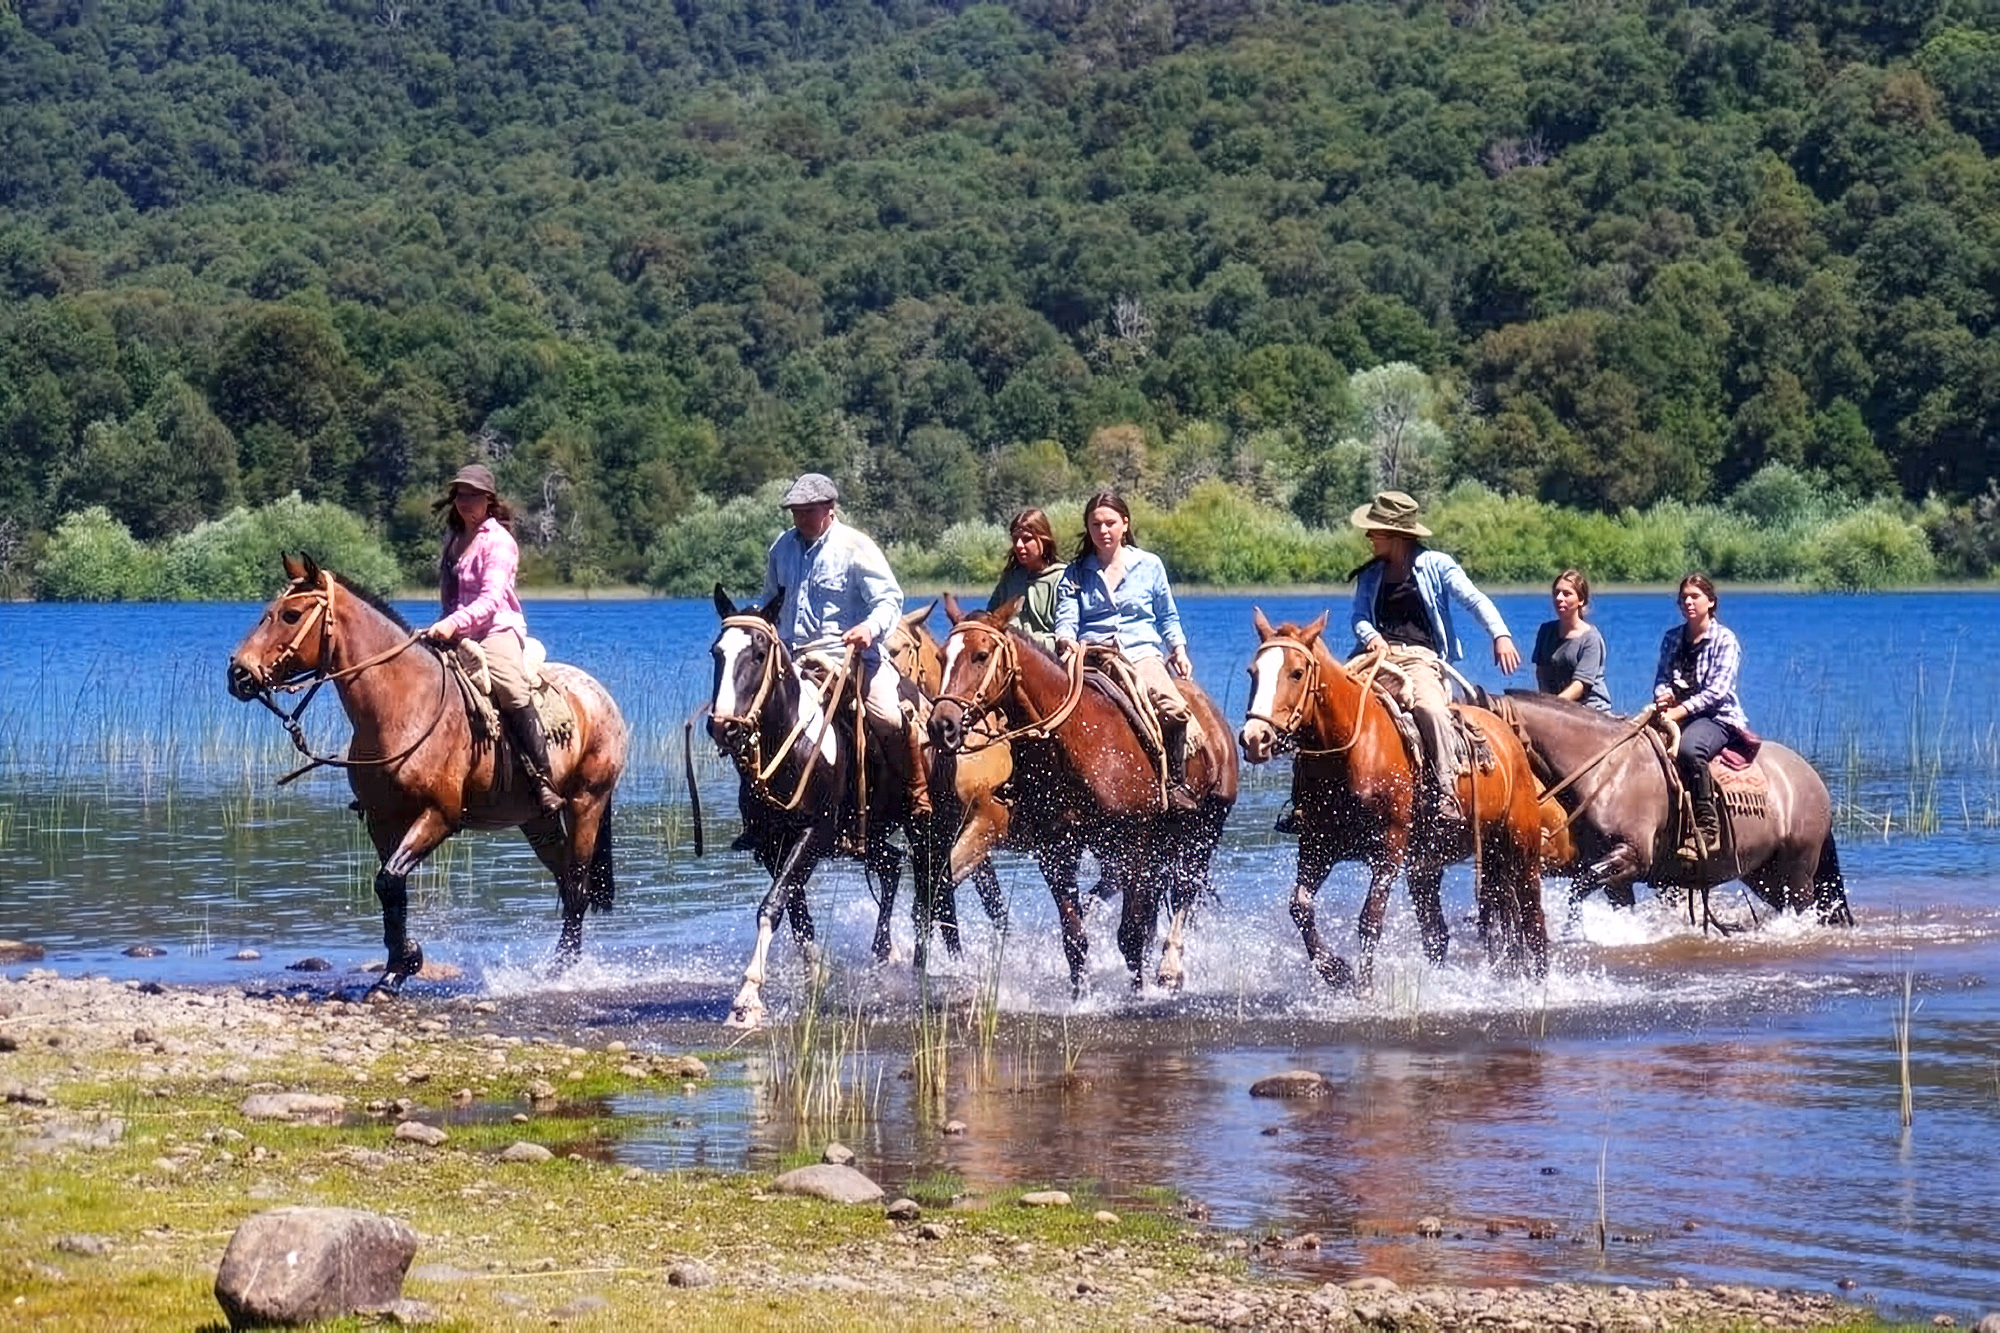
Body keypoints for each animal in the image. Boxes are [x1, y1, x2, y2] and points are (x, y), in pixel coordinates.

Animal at [225, 554, 626, 993]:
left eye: (291, 615)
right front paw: (397, 968)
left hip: (586, 804)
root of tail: (601, 695)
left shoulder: (439, 816)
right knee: (568, 883)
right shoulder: (382, 819)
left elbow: (389, 880)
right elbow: (390, 886)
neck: (402, 706)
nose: (238, 674)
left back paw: (559, 970)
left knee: (578, 885)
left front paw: (403, 963)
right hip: (537, 821)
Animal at [706, 586, 951, 1027]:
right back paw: (884, 952)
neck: (791, 744)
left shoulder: (812, 833)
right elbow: (794, 911)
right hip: (868, 835)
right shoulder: (772, 845)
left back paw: (916, 974)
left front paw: (747, 997)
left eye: (759, 652)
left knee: (925, 896)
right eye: (717, 652)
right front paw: (815, 975)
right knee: (891, 867)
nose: (725, 727)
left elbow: (772, 905)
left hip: (928, 828)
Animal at [928, 603, 1239, 995]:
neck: (1074, 742)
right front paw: (1080, 996)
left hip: (1205, 830)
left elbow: (1131, 934)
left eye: (981, 655)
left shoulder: (1130, 842)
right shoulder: (1056, 849)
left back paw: (1170, 969)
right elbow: (1074, 937)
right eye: (942, 657)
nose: (942, 725)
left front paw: (1137, 994)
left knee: (1184, 891)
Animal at [1238, 609, 1548, 990]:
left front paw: (1363, 986)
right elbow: (1300, 906)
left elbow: (1370, 919)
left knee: (1533, 919)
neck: (1352, 751)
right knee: (1442, 932)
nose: (1255, 738)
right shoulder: (1317, 845)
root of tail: (1509, 738)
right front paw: (1335, 970)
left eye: (1296, 673)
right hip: (1446, 863)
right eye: (1253, 672)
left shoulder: (1388, 848)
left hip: (1522, 847)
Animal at [1493, 690, 1854, 928]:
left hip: (1799, 872)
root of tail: (1812, 778)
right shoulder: (1614, 872)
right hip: (1765, 874)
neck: (1606, 768)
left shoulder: (1631, 857)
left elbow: (1578, 888)